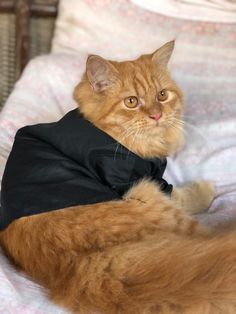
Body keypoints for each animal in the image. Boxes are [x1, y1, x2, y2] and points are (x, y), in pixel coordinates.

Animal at [0, 41, 236, 314]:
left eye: (162, 96)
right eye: (131, 101)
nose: (157, 115)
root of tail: (75, 265)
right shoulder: (142, 180)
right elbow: (183, 194)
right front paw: (206, 189)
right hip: (148, 197)